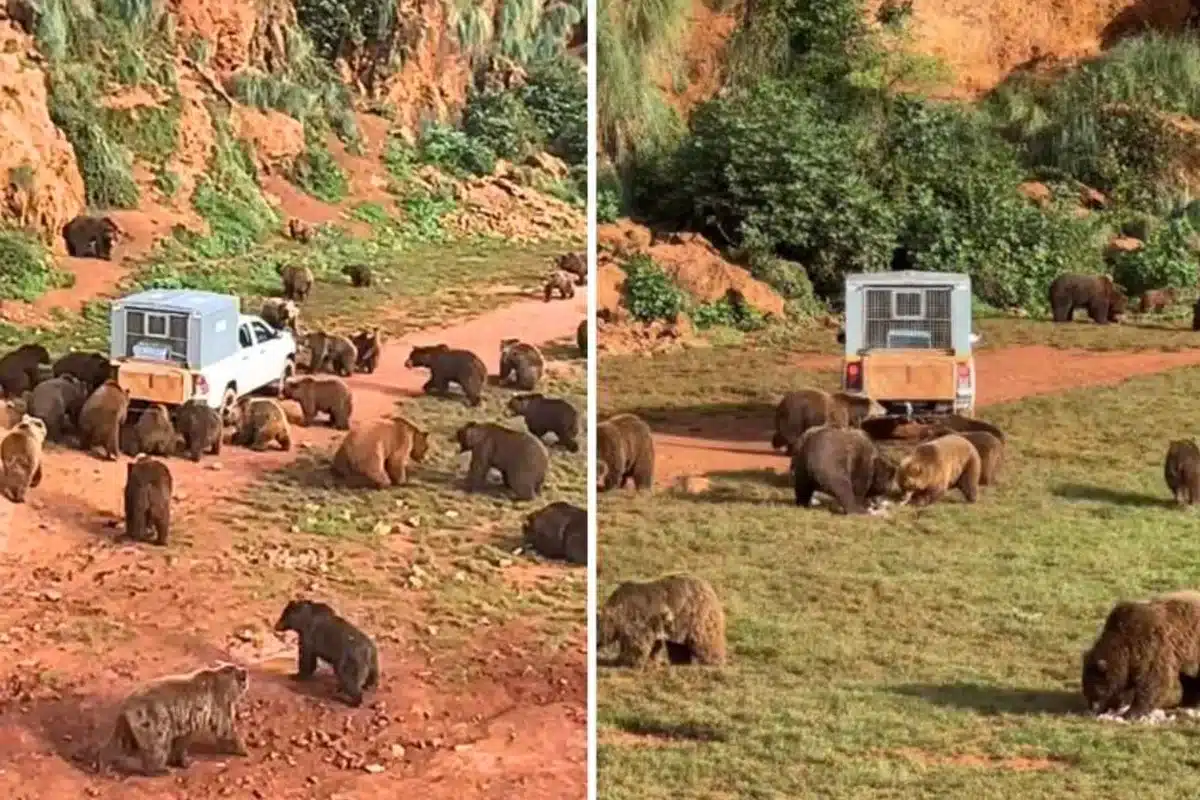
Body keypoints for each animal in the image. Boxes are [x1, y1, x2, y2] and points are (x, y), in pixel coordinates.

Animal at [1081, 590, 1200, 719]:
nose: (1092, 710)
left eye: (1095, 689)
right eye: (1086, 688)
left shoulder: (1152, 647)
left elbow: (1153, 682)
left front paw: (1131, 712)